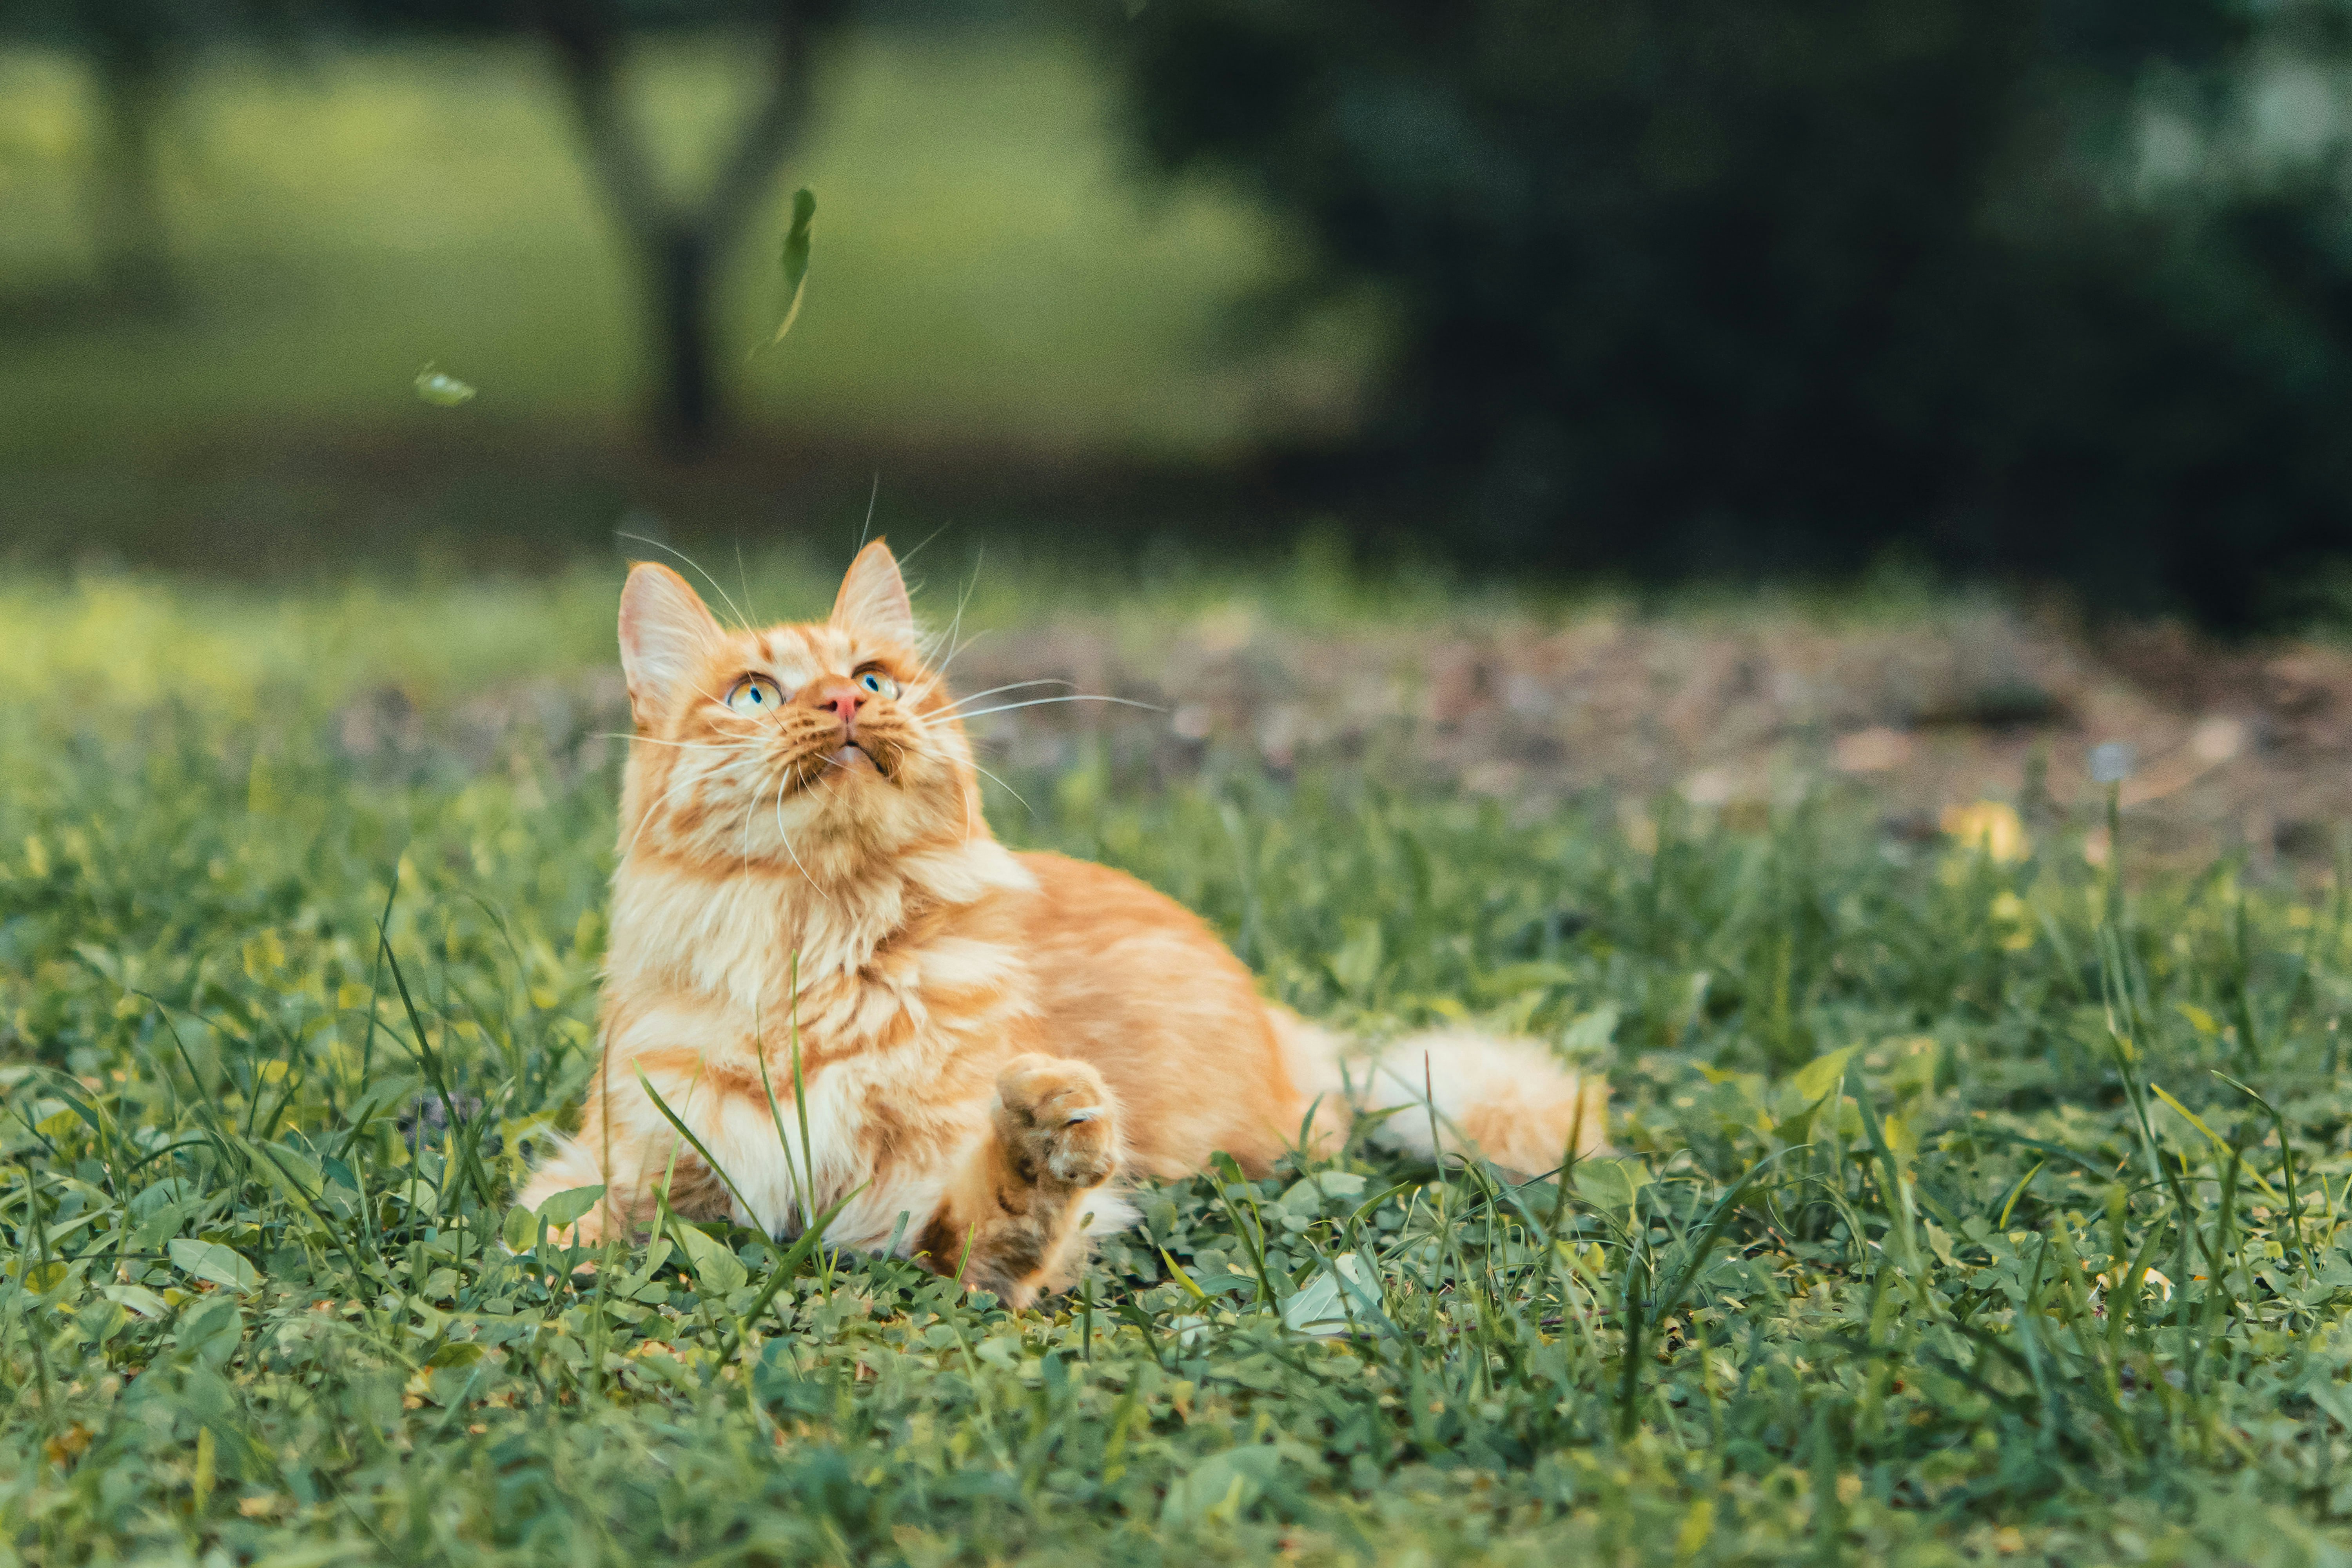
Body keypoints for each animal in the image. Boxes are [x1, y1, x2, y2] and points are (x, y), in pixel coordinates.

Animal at [517, 545, 1609, 1307]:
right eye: (754, 693)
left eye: (872, 679)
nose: (842, 703)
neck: (818, 944)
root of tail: (1288, 1025)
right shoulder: (622, 1168)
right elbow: (558, 1229)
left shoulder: (902, 1203)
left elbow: (994, 1229)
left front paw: (1041, 1146)